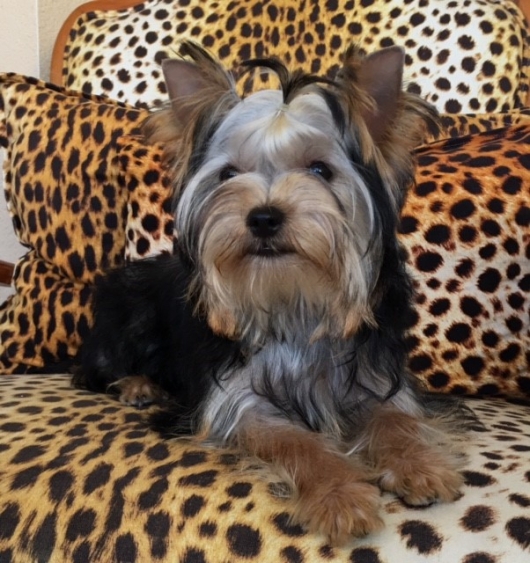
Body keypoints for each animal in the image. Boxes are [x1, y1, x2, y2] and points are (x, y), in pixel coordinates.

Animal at [75, 41, 464, 544]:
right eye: (228, 174)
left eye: (320, 170)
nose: (262, 217)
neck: (294, 300)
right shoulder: (237, 399)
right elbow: (292, 440)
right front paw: (340, 495)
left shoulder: (376, 374)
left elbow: (395, 418)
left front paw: (420, 465)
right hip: (129, 311)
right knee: (98, 367)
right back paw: (139, 385)